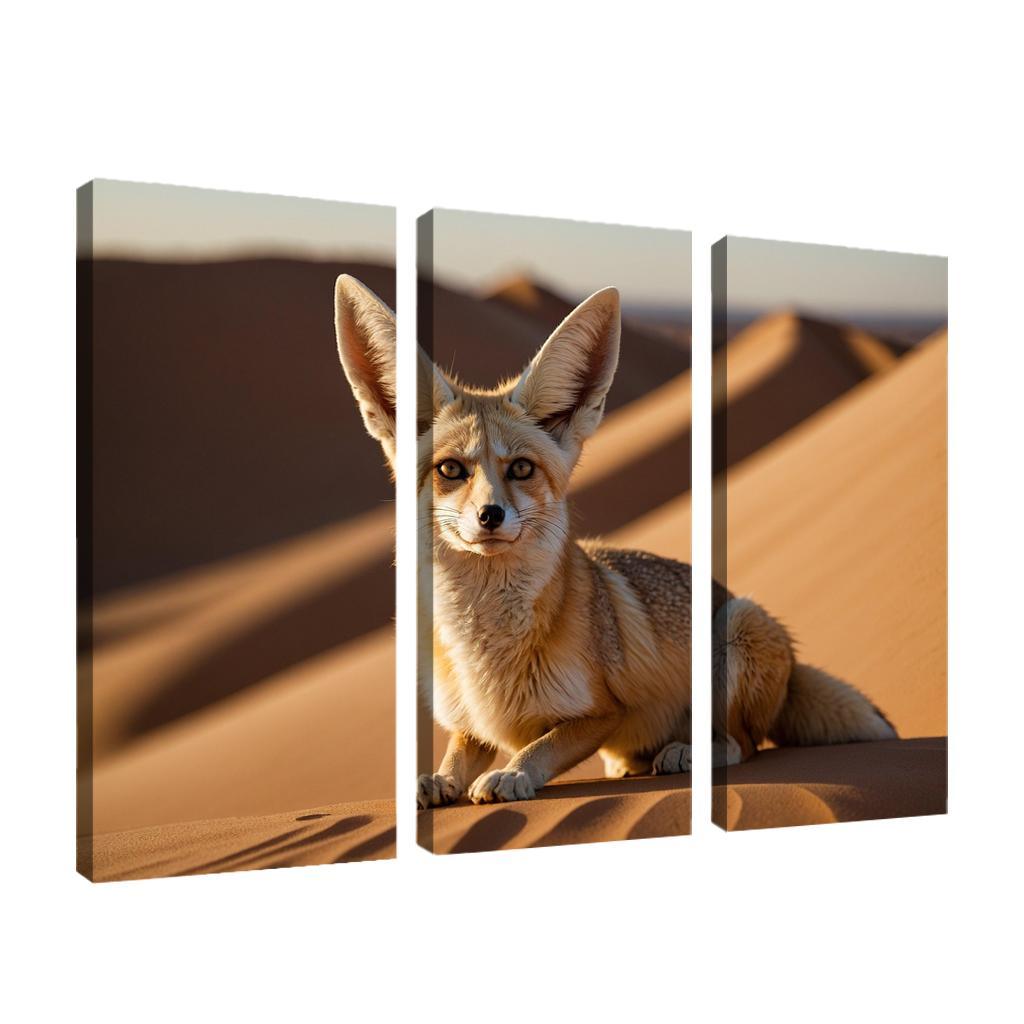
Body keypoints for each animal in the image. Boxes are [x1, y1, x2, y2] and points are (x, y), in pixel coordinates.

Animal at [333, 274, 898, 808]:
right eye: (451, 470)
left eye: (521, 469)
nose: (490, 515)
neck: (487, 653)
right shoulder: (472, 726)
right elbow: (455, 757)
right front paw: (436, 782)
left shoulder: (603, 712)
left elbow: (539, 746)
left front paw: (512, 775)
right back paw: (634, 764)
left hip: (737, 628)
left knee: (743, 744)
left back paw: (686, 751)